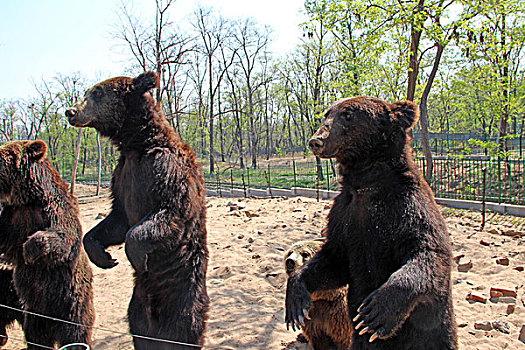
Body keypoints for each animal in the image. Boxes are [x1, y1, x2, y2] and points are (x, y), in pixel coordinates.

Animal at [0, 139, 94, 348]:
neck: (27, 199)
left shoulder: (54, 209)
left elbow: (63, 237)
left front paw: (29, 250)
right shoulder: (11, 217)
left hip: (71, 303)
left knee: (75, 332)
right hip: (34, 312)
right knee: (36, 337)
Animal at [66, 72, 210, 350]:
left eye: (96, 93)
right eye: (88, 91)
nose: (70, 111)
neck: (137, 143)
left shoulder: (166, 168)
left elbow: (169, 211)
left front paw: (137, 258)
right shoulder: (122, 176)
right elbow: (117, 220)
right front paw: (104, 257)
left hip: (184, 297)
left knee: (186, 329)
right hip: (136, 309)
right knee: (139, 331)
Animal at [284, 98, 456, 350]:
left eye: (347, 115)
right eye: (327, 114)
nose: (316, 140)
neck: (366, 183)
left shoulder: (408, 206)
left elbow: (427, 251)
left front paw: (376, 312)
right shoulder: (344, 214)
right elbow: (334, 259)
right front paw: (296, 301)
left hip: (434, 330)